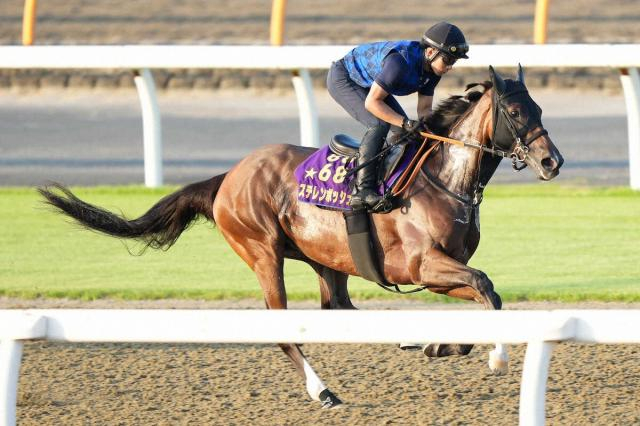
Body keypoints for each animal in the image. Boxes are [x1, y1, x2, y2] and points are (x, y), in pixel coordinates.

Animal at [39, 66, 563, 409]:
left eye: (539, 106)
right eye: (514, 111)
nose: (552, 161)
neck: (443, 176)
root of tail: (228, 177)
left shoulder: (438, 270)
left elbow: (485, 292)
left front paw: (441, 345)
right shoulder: (421, 266)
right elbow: (485, 286)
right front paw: (493, 355)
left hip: (327, 259)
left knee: (340, 310)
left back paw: (408, 341)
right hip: (263, 252)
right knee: (286, 328)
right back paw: (322, 390)